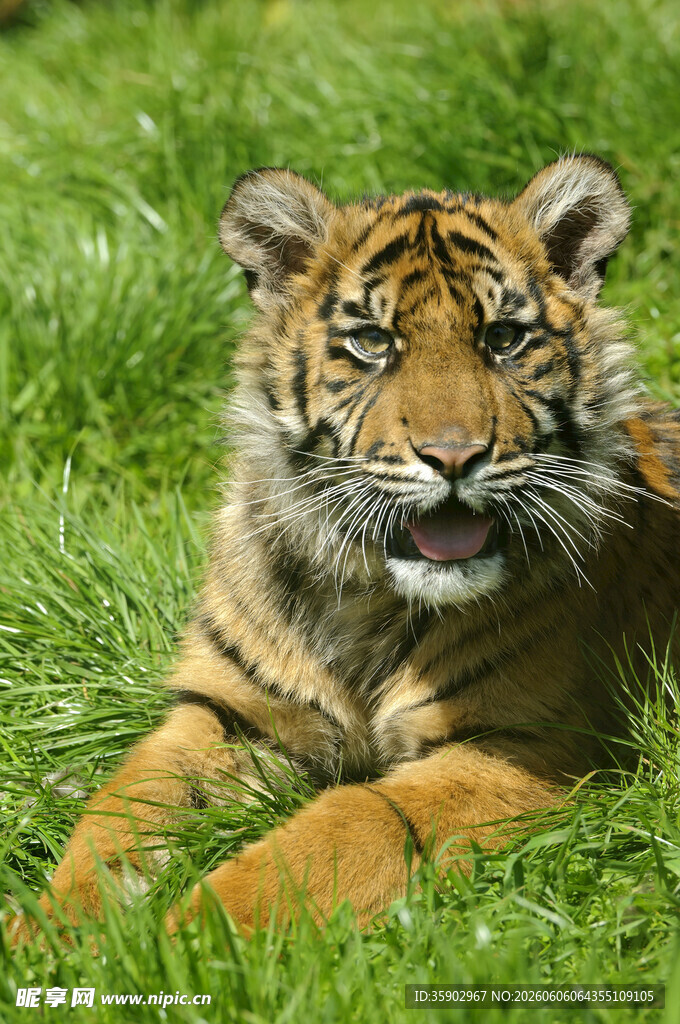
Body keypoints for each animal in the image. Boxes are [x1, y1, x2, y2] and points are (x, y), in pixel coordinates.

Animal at [13, 154, 680, 939]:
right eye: (372, 342)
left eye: (503, 339)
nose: (454, 456)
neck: (366, 590)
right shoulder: (226, 714)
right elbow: (118, 811)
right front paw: (56, 936)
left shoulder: (518, 742)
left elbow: (344, 826)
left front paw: (187, 942)